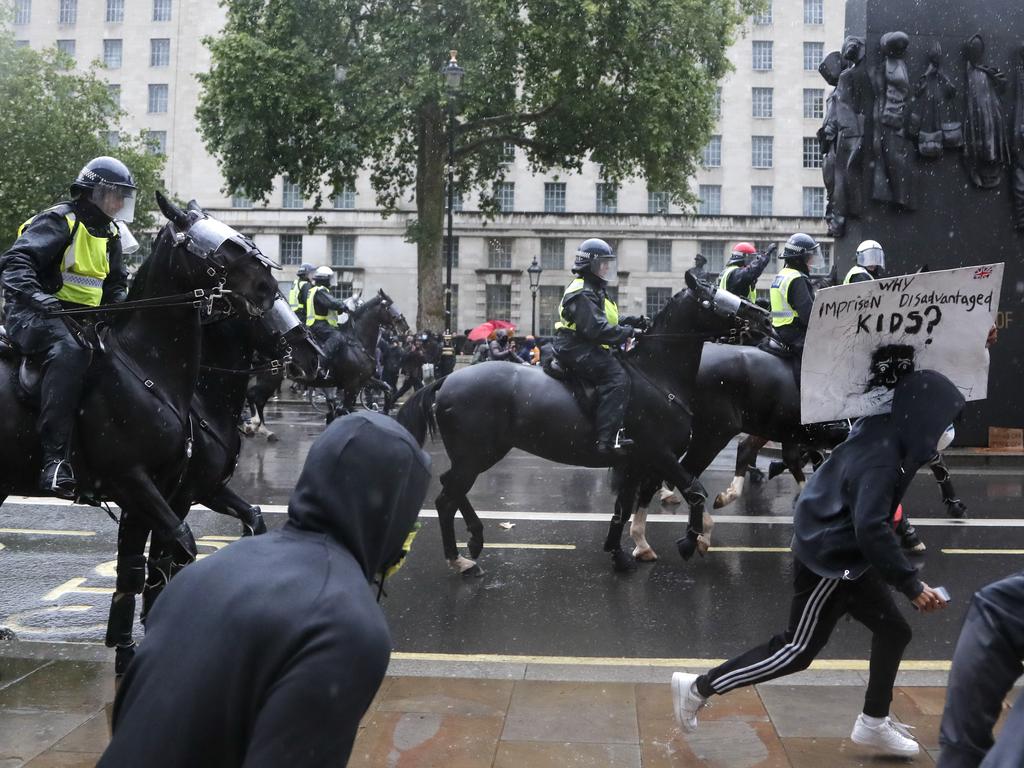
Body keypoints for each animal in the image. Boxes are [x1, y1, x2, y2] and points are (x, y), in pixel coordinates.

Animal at [0, 192, 280, 671]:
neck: (149, 369)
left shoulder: (162, 490)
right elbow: (179, 549)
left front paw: (128, 648)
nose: (269, 287)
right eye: (220, 246)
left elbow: (140, 567)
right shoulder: (133, 480)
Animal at [395, 274, 770, 573]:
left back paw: (474, 540)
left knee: (452, 489)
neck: (657, 375)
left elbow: (622, 508)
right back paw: (460, 559)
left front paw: (621, 553)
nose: (763, 316)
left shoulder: (635, 461)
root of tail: (446, 380)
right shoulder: (658, 453)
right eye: (714, 297)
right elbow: (695, 491)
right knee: (446, 499)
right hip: (476, 455)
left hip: (476, 456)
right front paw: (691, 542)